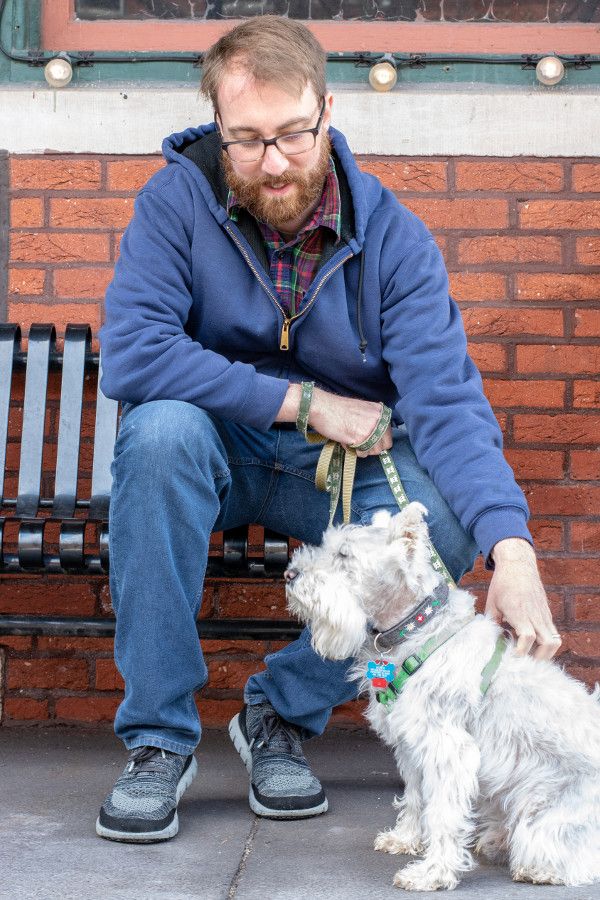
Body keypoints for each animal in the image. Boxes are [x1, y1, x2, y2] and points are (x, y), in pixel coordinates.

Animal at [284, 502, 600, 888]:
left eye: (344, 554)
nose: (289, 574)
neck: (417, 630)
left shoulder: (447, 750)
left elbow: (443, 814)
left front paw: (432, 873)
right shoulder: (413, 747)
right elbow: (416, 797)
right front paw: (405, 839)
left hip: (546, 816)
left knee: (574, 855)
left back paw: (538, 869)